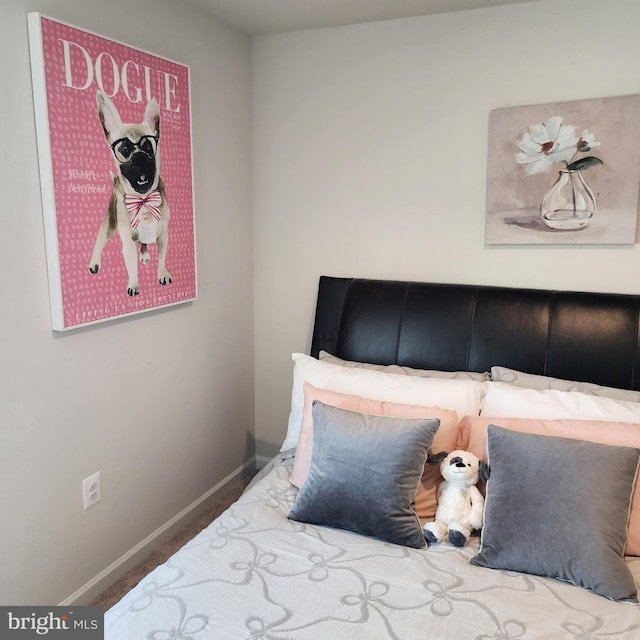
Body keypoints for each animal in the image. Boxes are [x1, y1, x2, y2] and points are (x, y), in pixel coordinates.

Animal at [89, 89, 172, 296]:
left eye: (148, 146)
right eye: (125, 149)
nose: (139, 157)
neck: (143, 200)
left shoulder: (163, 235)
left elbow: (162, 256)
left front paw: (162, 273)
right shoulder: (126, 241)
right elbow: (131, 265)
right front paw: (134, 284)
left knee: (143, 243)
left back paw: (144, 255)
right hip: (109, 222)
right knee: (99, 241)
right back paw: (94, 262)